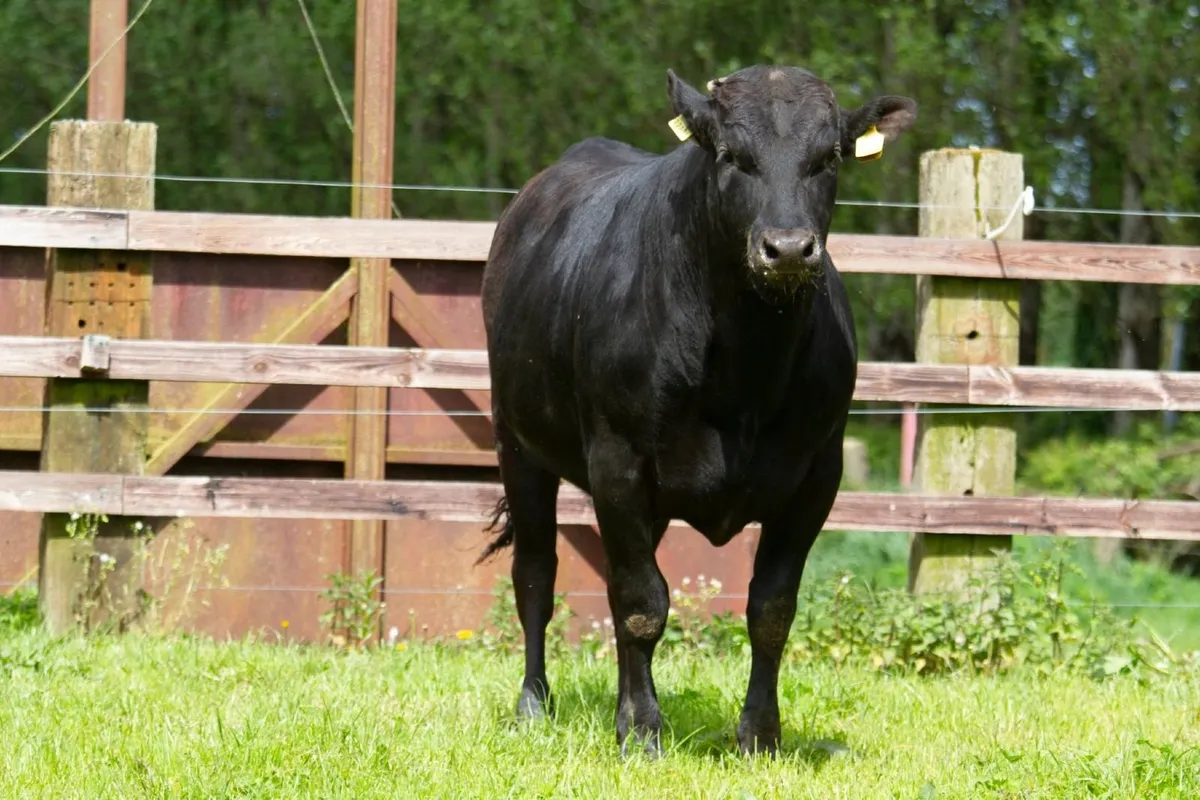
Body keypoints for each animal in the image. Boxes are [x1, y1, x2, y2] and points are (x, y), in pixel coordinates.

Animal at [477, 65, 917, 758]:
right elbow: (641, 602)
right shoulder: (617, 461)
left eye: (828, 158)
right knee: (536, 577)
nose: (787, 248)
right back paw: (534, 705)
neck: (745, 369)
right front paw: (642, 731)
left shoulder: (817, 475)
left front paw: (760, 734)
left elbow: (770, 609)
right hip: (517, 443)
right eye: (733, 156)